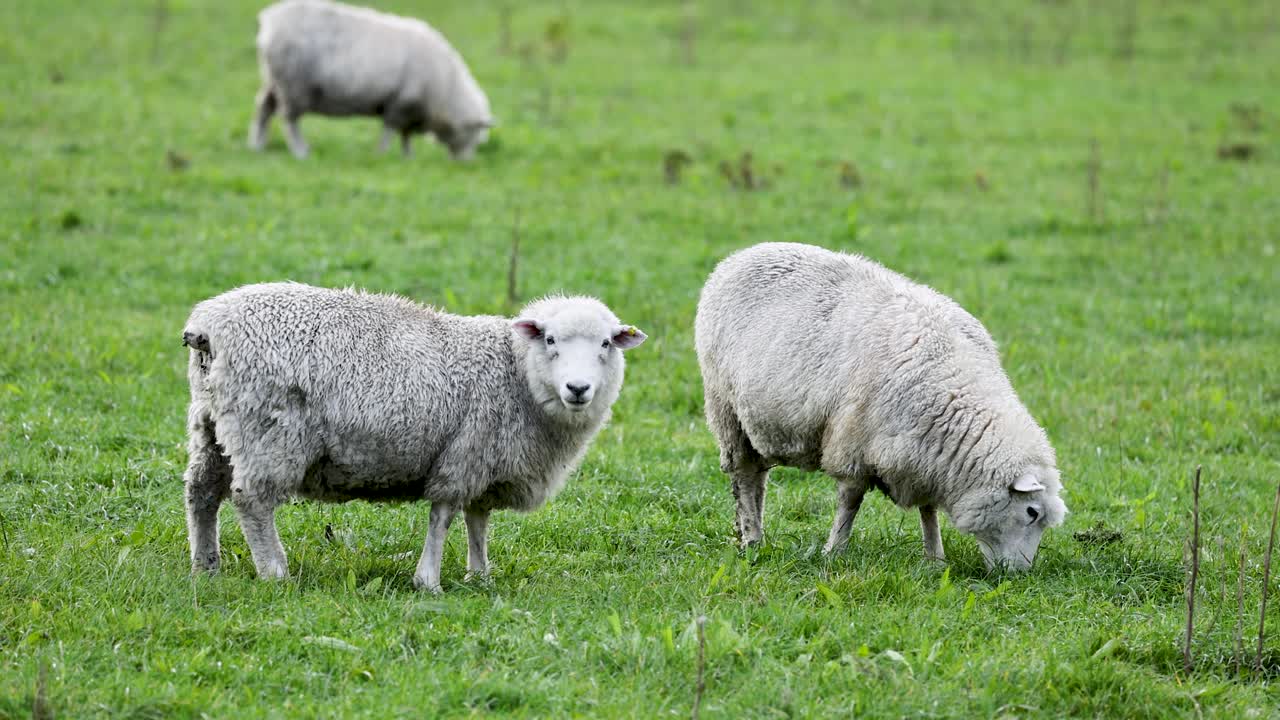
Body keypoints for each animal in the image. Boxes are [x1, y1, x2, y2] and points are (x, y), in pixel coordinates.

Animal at [181, 283, 646, 591]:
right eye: (550, 339)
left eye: (606, 344)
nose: (578, 389)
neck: (515, 373)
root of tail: (207, 326)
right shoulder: (464, 455)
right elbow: (443, 517)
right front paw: (429, 581)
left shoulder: (484, 459)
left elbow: (478, 520)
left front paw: (480, 576)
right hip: (267, 431)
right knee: (252, 500)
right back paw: (275, 572)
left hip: (210, 422)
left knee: (201, 491)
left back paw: (205, 566)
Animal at [249, 0, 493, 160]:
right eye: (474, 133)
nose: (466, 163)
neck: (447, 90)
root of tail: (269, 21)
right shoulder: (400, 105)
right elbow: (389, 132)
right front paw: (381, 155)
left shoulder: (409, 110)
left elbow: (405, 136)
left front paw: (408, 158)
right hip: (293, 87)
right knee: (289, 121)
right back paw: (301, 152)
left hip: (273, 81)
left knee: (263, 108)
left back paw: (257, 145)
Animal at [695, 242, 1066, 570]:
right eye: (1031, 512)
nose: (1018, 574)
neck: (954, 382)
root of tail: (739, 256)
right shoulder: (853, 445)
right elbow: (850, 502)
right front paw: (835, 550)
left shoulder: (922, 456)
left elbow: (928, 510)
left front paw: (935, 558)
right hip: (725, 408)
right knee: (744, 475)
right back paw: (753, 538)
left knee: (758, 477)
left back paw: (749, 532)